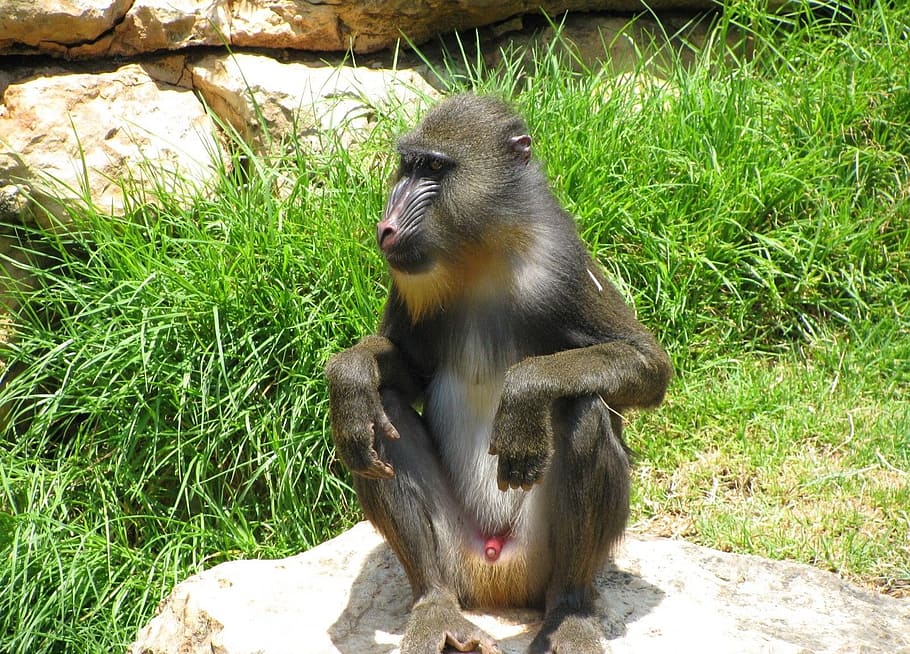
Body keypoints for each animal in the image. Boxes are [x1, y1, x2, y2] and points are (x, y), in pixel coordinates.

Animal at [325, 93, 671, 654]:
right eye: (408, 165)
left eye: (435, 169)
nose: (388, 227)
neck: (479, 251)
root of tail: (496, 582)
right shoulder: (410, 284)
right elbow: (403, 373)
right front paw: (350, 373)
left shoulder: (564, 266)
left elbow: (647, 364)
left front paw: (526, 394)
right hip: (456, 549)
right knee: (383, 410)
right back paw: (434, 605)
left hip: (538, 558)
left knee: (583, 408)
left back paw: (569, 614)